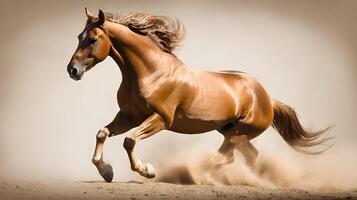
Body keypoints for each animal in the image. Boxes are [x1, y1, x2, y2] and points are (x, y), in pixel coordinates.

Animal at [66, 8, 330, 182]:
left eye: (93, 39)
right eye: (79, 37)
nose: (72, 70)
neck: (151, 72)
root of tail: (268, 99)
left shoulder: (161, 119)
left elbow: (129, 140)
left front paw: (147, 170)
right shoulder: (128, 116)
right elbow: (102, 133)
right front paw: (106, 171)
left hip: (237, 134)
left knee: (226, 157)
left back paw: (202, 174)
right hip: (231, 131)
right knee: (248, 155)